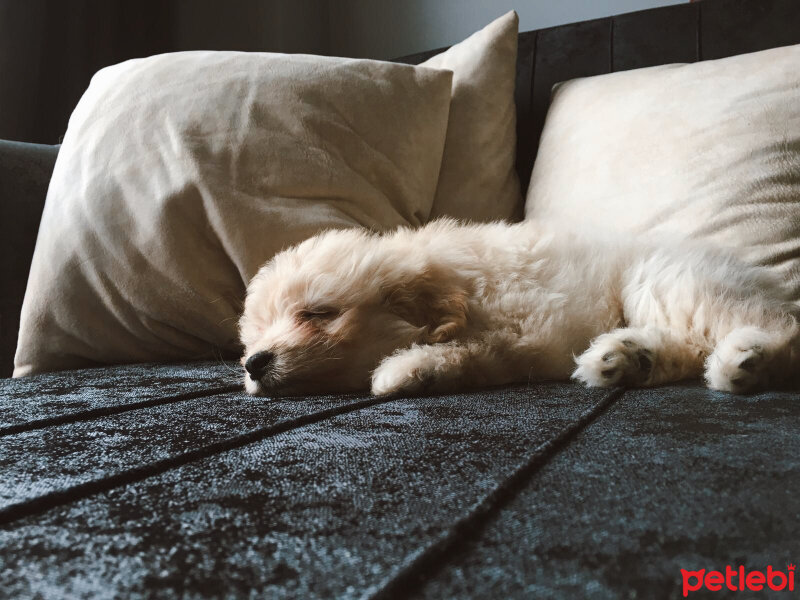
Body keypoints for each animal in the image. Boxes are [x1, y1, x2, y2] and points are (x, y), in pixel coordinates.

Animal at [239, 218, 800, 396]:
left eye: (318, 313)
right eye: (254, 337)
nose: (253, 363)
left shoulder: (531, 328)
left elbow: (476, 351)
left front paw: (409, 368)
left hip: (667, 279)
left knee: (777, 332)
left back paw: (747, 359)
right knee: (686, 348)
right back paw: (624, 358)